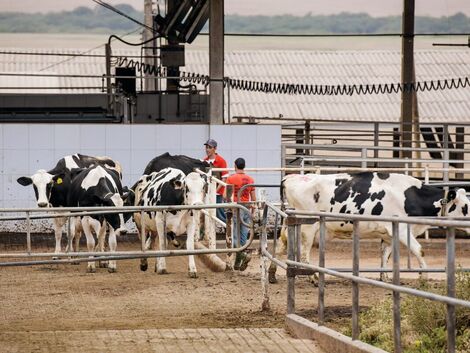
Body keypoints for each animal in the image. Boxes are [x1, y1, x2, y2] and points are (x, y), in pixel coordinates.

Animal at [268, 172, 470, 282]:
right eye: (465, 206)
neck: (409, 195)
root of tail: (292, 176)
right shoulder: (403, 229)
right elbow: (419, 250)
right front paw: (424, 277)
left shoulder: (389, 234)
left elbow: (385, 256)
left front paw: (385, 278)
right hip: (308, 226)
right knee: (304, 252)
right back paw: (313, 277)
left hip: (288, 224)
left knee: (280, 246)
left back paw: (271, 274)